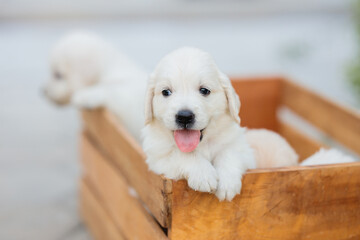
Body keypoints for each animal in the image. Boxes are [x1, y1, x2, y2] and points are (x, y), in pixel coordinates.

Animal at [143, 47, 298, 201]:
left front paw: (227, 183)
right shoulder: (158, 159)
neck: (202, 145)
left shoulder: (243, 150)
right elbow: (182, 154)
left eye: (204, 90)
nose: (184, 116)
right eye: (166, 92)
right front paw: (203, 175)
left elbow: (229, 152)